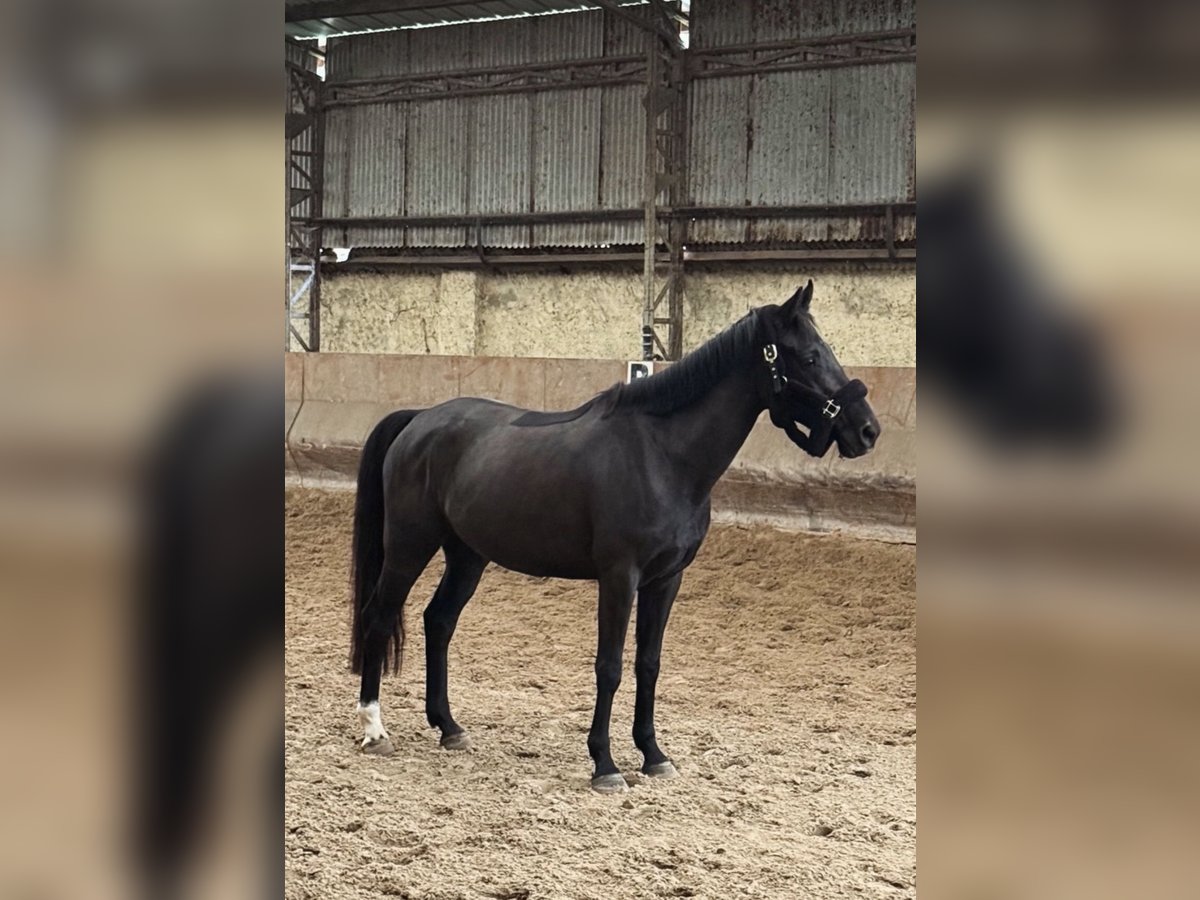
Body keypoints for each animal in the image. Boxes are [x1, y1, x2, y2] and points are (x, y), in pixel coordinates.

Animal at [349, 280, 880, 793]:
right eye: (808, 357)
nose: (868, 430)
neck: (661, 456)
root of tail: (420, 419)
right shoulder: (619, 577)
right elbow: (610, 666)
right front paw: (604, 764)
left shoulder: (666, 580)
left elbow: (648, 663)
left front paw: (653, 755)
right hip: (409, 546)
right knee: (379, 615)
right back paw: (374, 729)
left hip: (467, 556)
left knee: (438, 622)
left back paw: (449, 727)